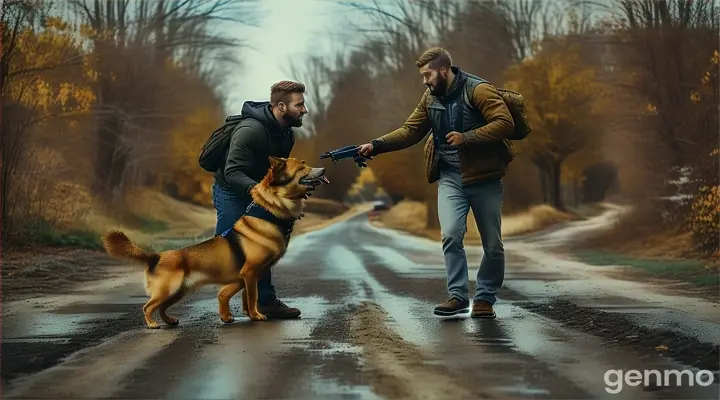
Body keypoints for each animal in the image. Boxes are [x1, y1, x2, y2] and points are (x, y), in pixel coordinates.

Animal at [101, 156, 330, 328]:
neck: (269, 212)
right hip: (168, 289)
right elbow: (253, 296)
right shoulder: (250, 273)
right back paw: (152, 324)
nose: (324, 168)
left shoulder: (248, 276)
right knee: (148, 306)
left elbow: (239, 296)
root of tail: (155, 256)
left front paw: (239, 315)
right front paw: (256, 316)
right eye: (302, 167)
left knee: (163, 308)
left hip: (179, 291)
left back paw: (171, 321)